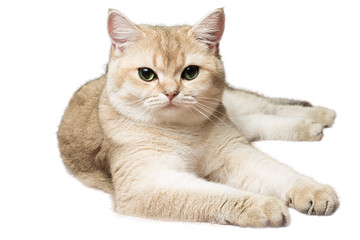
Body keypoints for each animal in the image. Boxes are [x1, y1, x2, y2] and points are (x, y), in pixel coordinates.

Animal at [57, 7, 338, 227]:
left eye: (190, 72)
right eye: (147, 74)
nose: (171, 92)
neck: (183, 130)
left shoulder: (236, 153)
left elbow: (280, 173)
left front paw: (313, 190)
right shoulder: (148, 183)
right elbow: (213, 194)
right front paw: (260, 206)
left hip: (234, 107)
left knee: (268, 107)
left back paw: (321, 114)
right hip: (240, 122)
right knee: (260, 121)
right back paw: (311, 126)